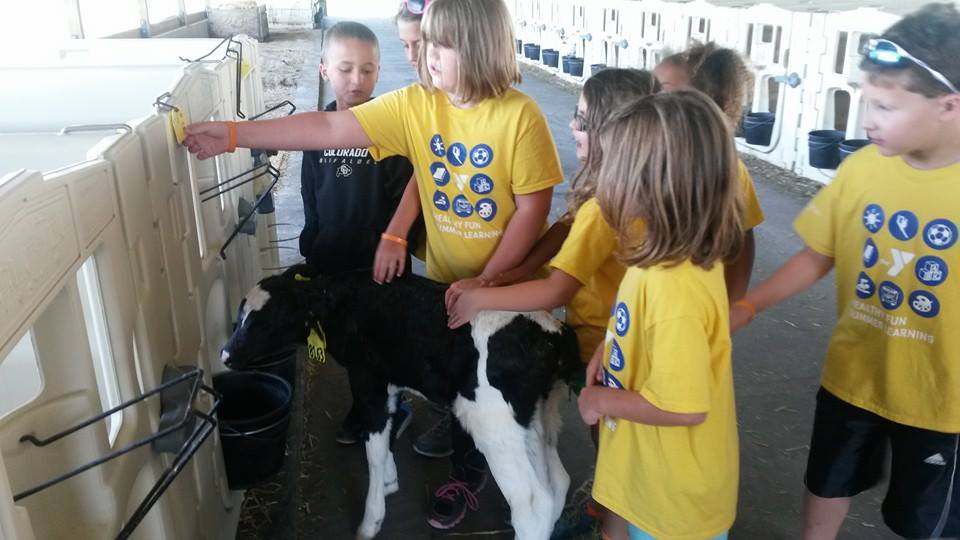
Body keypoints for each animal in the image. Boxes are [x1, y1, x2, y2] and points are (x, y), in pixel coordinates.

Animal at [221, 266, 580, 540]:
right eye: (240, 315)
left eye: (265, 321)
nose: (225, 354)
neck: (348, 302)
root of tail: (552, 332)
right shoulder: (390, 384)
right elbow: (388, 435)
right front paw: (390, 482)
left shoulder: (368, 380)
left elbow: (374, 450)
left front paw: (371, 520)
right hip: (540, 417)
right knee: (557, 483)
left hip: (494, 425)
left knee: (531, 502)